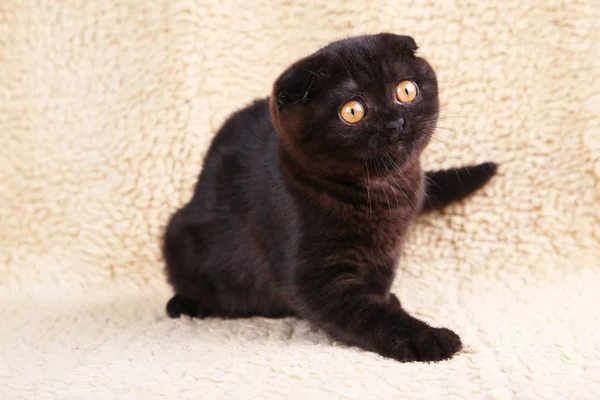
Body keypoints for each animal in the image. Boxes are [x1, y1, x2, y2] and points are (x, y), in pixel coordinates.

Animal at [163, 33, 496, 362]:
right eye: (353, 111)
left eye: (405, 90)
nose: (396, 124)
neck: (383, 192)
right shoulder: (315, 278)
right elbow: (372, 316)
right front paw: (430, 339)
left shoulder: (388, 254)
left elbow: (378, 293)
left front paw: (392, 301)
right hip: (178, 236)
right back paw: (185, 305)